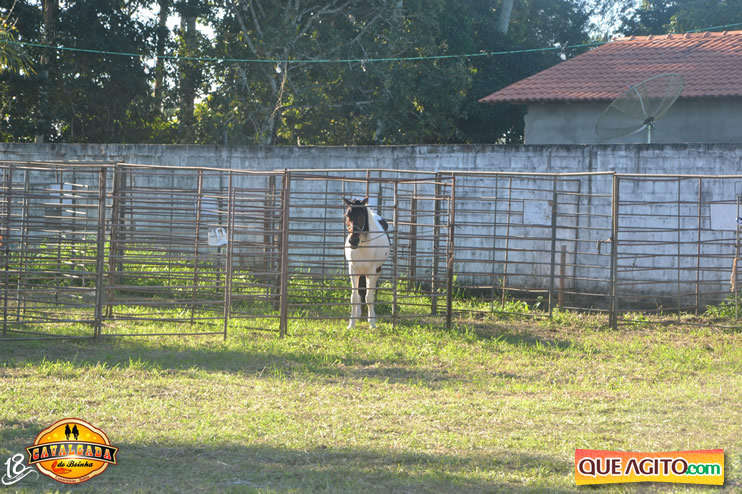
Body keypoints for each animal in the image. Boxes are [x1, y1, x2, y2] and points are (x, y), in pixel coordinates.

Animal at [343, 197, 390, 328]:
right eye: (347, 215)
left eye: (361, 216)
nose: (353, 241)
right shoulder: (353, 270)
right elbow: (354, 297)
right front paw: (351, 324)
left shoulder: (372, 271)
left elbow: (369, 297)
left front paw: (372, 324)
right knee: (360, 292)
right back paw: (359, 314)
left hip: (376, 271)